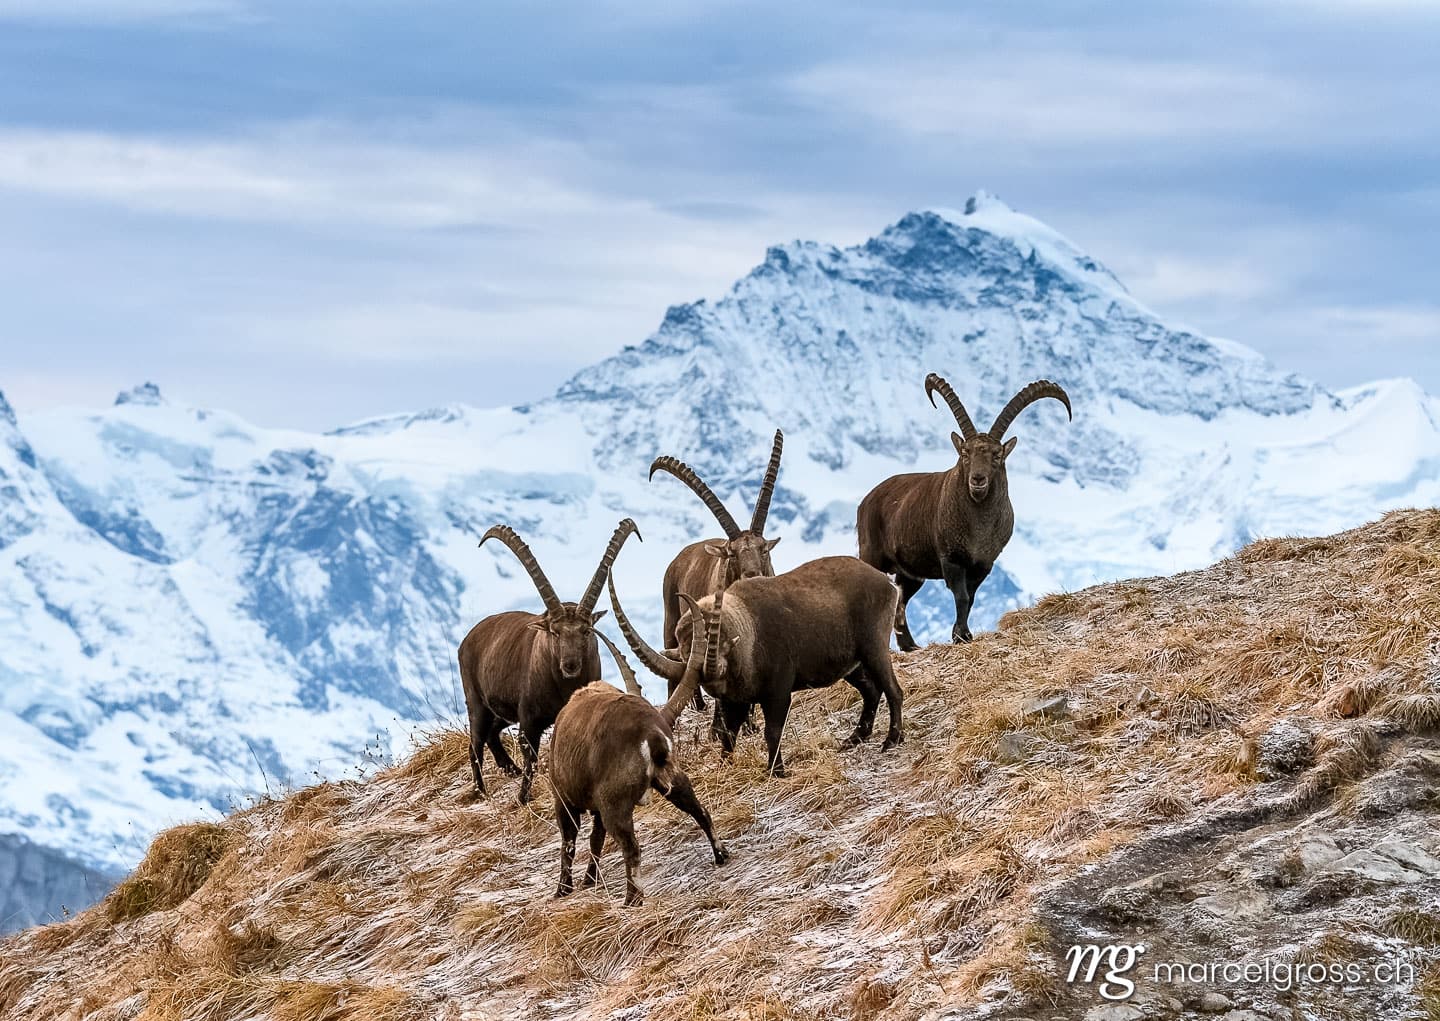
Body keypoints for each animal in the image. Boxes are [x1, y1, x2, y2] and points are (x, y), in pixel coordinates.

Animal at [458, 519, 640, 803]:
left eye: (586, 630)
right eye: (554, 632)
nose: (570, 665)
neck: (562, 686)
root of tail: (469, 637)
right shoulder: (529, 718)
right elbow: (530, 753)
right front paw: (523, 798)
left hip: (502, 709)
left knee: (492, 733)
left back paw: (510, 769)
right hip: (476, 701)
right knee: (475, 742)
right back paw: (481, 791)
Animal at [550, 592, 729, 906]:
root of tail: (652, 734)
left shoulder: (564, 797)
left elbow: (569, 841)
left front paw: (564, 889)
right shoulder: (596, 804)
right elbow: (596, 840)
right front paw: (589, 881)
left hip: (616, 803)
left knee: (631, 847)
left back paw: (632, 899)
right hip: (673, 778)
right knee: (701, 811)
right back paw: (721, 855)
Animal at [609, 556, 902, 777]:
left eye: (720, 641)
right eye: (683, 650)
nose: (713, 675)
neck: (748, 630)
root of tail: (886, 583)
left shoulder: (778, 692)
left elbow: (772, 732)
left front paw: (776, 771)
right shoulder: (734, 701)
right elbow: (728, 735)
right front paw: (724, 767)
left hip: (873, 647)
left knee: (893, 690)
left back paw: (892, 740)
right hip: (851, 665)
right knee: (871, 691)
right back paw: (855, 738)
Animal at [856, 375, 1071, 650]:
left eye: (997, 455)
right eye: (965, 452)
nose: (977, 479)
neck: (977, 528)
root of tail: (867, 499)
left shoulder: (983, 564)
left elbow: (970, 598)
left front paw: (962, 635)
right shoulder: (952, 558)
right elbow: (960, 596)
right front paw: (960, 635)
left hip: (911, 573)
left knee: (900, 598)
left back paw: (910, 646)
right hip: (871, 554)